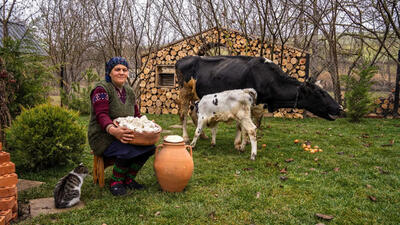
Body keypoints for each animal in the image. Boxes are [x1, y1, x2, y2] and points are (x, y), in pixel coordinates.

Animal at [177, 55, 342, 143]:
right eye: (320, 93)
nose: (339, 108)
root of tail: (185, 58)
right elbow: (242, 125)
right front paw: (240, 143)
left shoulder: (258, 107)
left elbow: (255, 123)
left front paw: (245, 142)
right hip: (184, 92)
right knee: (183, 113)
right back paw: (185, 137)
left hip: (195, 95)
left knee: (193, 112)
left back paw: (203, 135)